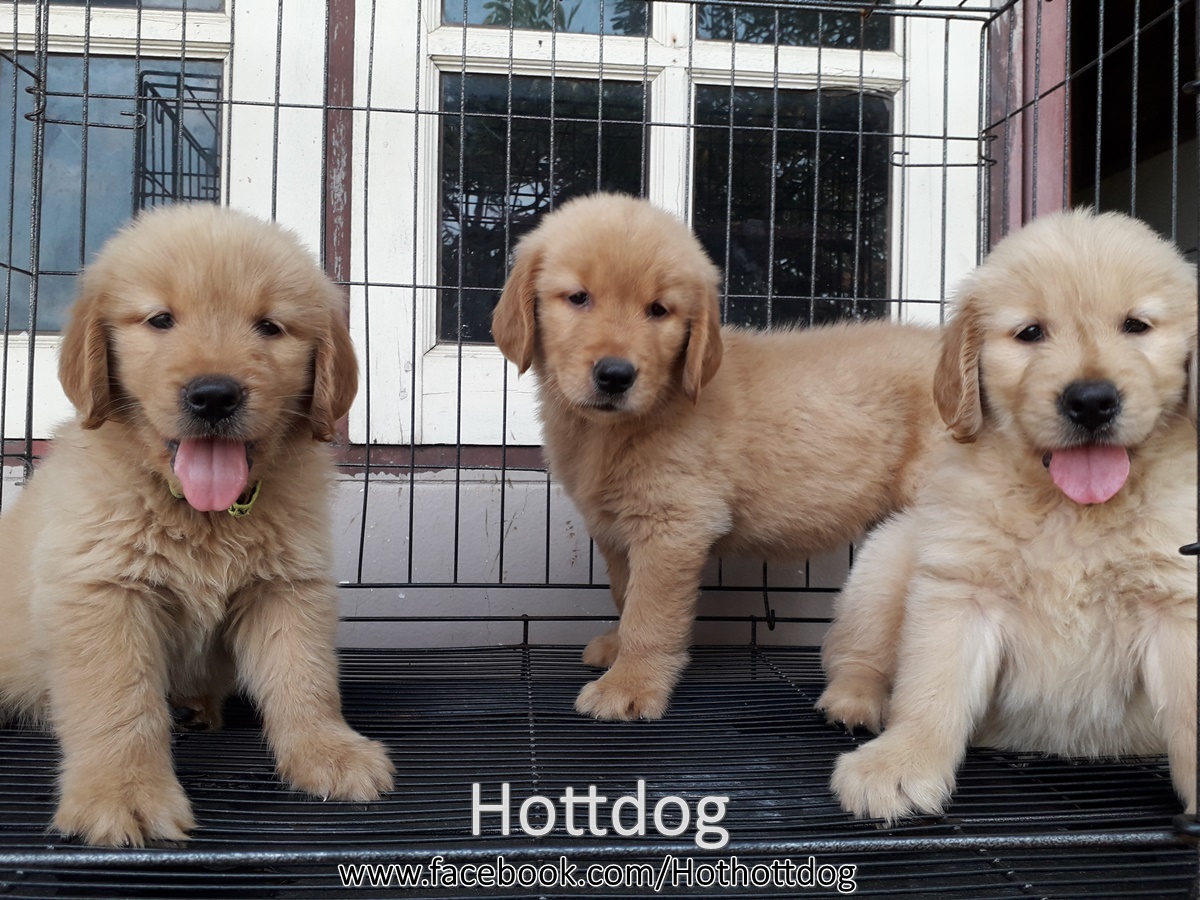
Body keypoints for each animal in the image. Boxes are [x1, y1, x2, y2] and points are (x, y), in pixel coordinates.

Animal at [0, 204, 394, 845]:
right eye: (161, 320)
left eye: (269, 327)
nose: (214, 395)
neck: (201, 510)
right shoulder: (103, 593)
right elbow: (118, 702)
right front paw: (124, 793)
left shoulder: (287, 587)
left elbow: (304, 677)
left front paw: (328, 753)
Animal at [492, 192, 945, 721]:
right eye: (578, 298)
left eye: (658, 310)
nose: (615, 375)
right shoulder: (616, 526)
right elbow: (626, 592)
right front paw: (617, 648)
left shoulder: (675, 522)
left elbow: (649, 613)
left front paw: (629, 684)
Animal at [818, 210, 1198, 822]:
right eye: (1031, 333)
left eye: (1136, 326)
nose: (1091, 401)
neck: (1072, 510)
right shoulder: (959, 589)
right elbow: (931, 689)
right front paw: (902, 764)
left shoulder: (1177, 600)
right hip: (885, 561)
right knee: (853, 655)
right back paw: (854, 702)